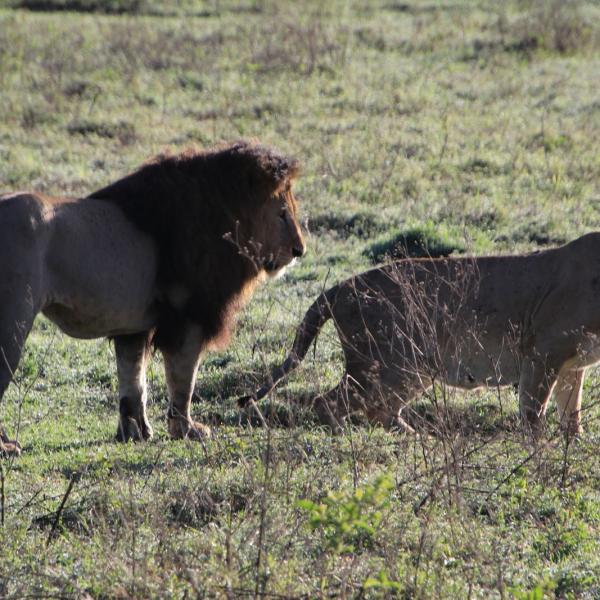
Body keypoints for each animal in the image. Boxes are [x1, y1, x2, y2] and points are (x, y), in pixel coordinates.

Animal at [1, 139, 304, 454]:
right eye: (282, 213)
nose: (300, 251)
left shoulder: (133, 326)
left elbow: (133, 382)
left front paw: (135, 433)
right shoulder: (188, 318)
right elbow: (183, 379)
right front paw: (186, 430)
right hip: (13, 322)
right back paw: (6, 447)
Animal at [240, 237, 600, 438]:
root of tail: (341, 286)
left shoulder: (572, 365)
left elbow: (572, 414)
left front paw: (574, 446)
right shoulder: (542, 352)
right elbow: (533, 411)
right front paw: (540, 452)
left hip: (411, 368)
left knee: (380, 412)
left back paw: (415, 439)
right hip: (393, 363)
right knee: (329, 402)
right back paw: (346, 439)